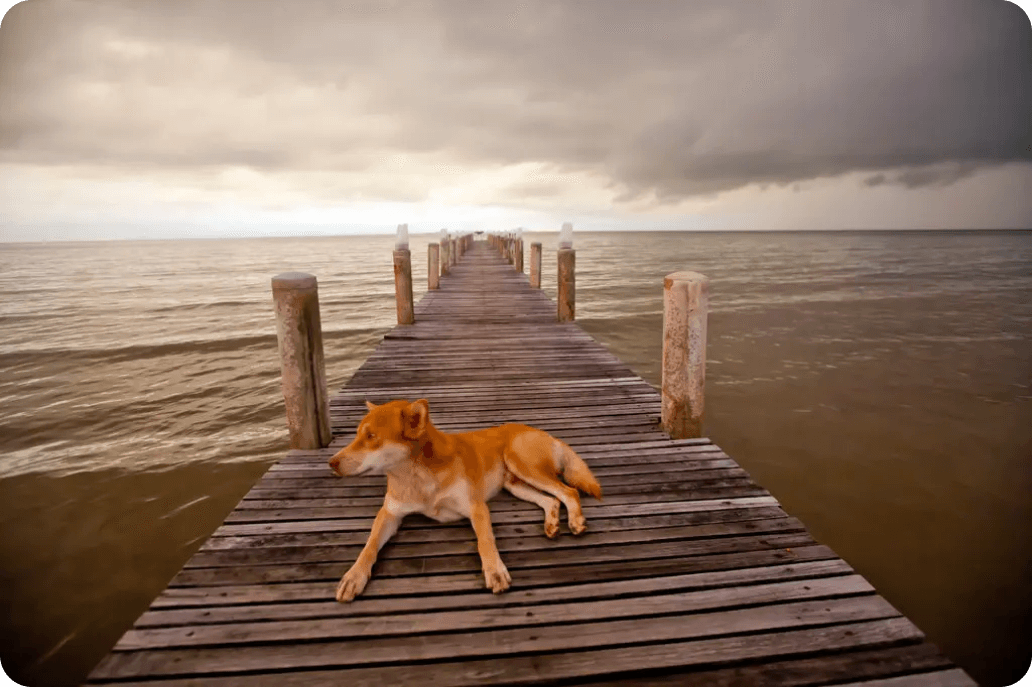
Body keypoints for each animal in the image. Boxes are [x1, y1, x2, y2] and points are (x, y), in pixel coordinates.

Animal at [328, 396, 602, 598]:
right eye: (357, 435)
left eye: (371, 437)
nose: (331, 463)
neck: (417, 477)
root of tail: (541, 432)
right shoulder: (389, 513)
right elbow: (370, 545)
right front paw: (353, 576)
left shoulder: (476, 507)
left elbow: (485, 541)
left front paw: (495, 571)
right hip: (515, 484)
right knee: (552, 500)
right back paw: (552, 523)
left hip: (523, 465)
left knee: (568, 491)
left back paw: (575, 521)